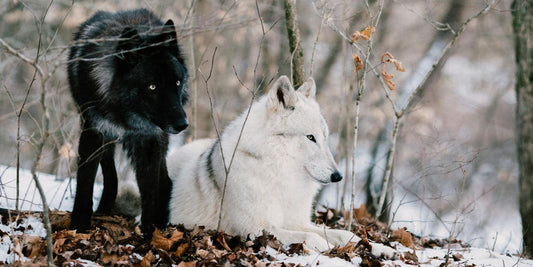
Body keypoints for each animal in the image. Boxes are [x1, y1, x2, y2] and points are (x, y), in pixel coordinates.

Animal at [66, 8, 188, 236]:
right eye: (152, 86)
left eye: (177, 82)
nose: (182, 124)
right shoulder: (94, 132)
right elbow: (86, 183)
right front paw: (78, 226)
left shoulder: (149, 140)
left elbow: (149, 190)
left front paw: (149, 233)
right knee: (111, 174)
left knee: (165, 182)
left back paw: (160, 224)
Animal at [168, 76, 392, 258]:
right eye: (310, 137)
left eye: (325, 137)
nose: (338, 176)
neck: (279, 175)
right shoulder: (254, 229)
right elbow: (312, 237)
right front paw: (330, 248)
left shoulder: (299, 222)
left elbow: (346, 234)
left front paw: (379, 248)